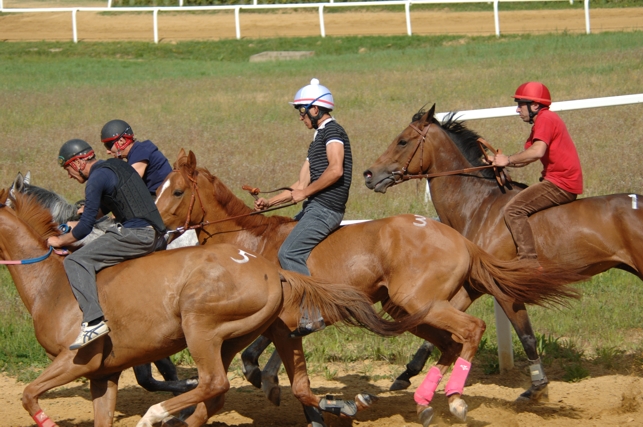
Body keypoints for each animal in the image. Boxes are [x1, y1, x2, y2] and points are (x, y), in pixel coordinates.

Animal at [0, 191, 402, 427]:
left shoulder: (74, 360)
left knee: (214, 383)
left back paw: (157, 414)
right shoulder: (104, 373)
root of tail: (271, 269)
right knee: (256, 388)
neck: (52, 284)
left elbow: (29, 393)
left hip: (201, 327)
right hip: (248, 335)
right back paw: (345, 403)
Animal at [155, 150, 584, 424]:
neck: (252, 244)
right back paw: (425, 401)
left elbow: (271, 367)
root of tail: (459, 238)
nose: (155, 227)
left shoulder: (280, 322)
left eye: (176, 191)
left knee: (470, 331)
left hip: (419, 302)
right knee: (448, 343)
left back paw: (455, 400)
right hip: (409, 311)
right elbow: (262, 365)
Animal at [364, 104, 643, 404]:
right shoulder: (475, 285)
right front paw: (407, 373)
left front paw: (537, 386)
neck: (479, 206)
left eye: (403, 141)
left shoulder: (505, 291)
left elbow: (527, 336)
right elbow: (439, 326)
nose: (369, 174)